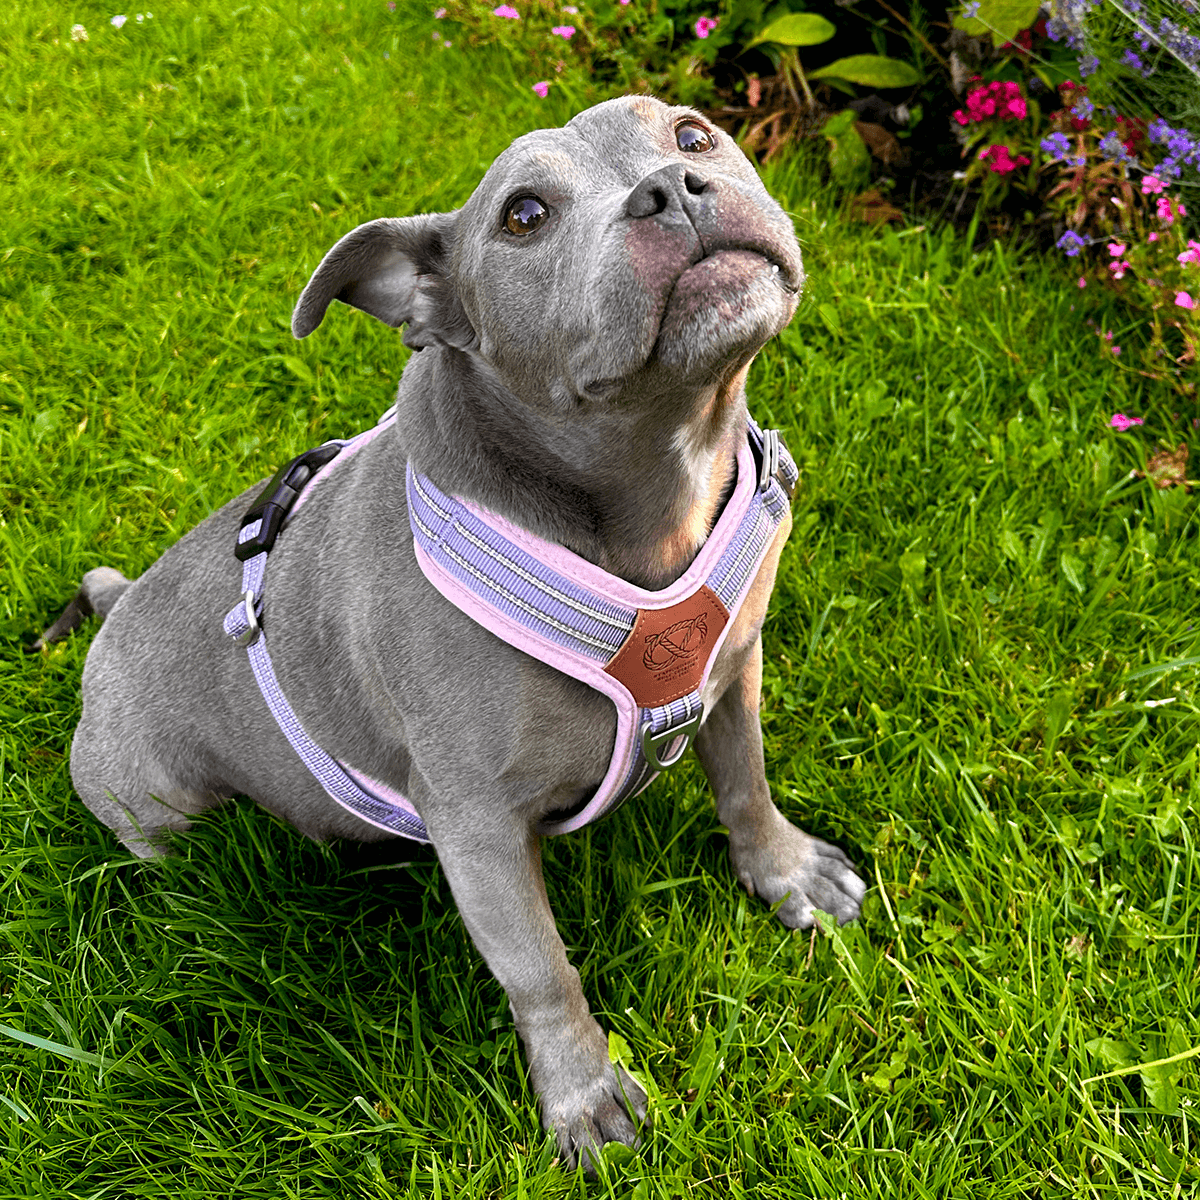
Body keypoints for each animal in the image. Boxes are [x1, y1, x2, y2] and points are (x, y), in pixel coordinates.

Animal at [37, 96, 864, 1171]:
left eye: (692, 134)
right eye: (523, 216)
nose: (670, 188)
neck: (653, 491)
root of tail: (117, 608)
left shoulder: (734, 673)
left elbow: (747, 786)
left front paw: (786, 873)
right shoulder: (478, 827)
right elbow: (540, 966)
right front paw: (584, 1094)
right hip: (158, 800)